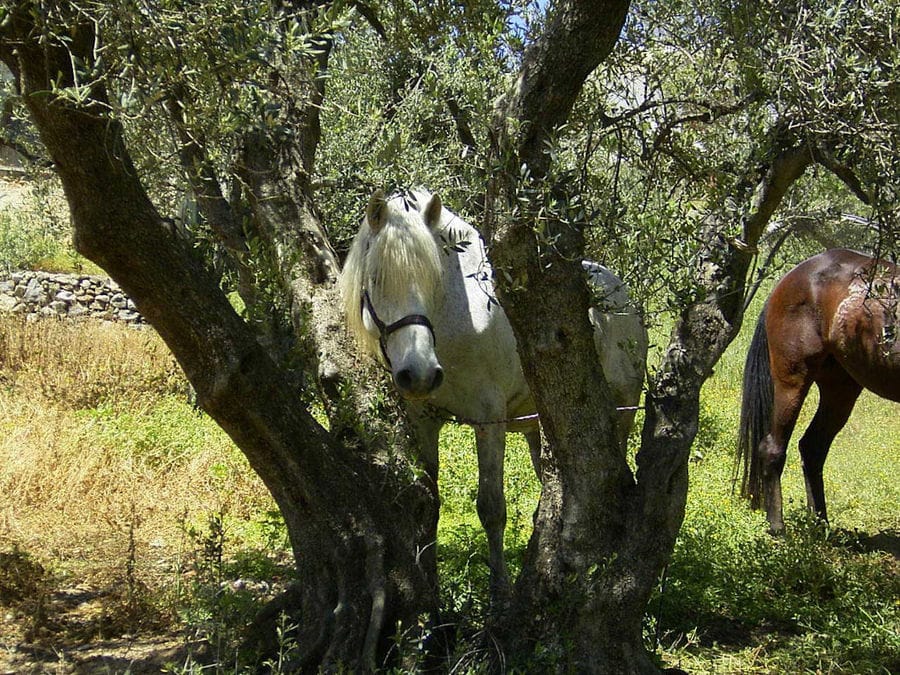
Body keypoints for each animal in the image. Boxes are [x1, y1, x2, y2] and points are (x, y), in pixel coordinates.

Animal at [340, 189, 648, 604]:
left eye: (433, 279)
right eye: (377, 279)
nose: (419, 374)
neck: (455, 327)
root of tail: (620, 293)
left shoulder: (489, 421)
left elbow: (491, 508)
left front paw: (499, 592)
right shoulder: (425, 423)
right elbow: (430, 504)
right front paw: (431, 588)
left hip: (622, 411)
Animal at [740, 248, 900, 532]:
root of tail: (789, 278)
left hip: (840, 388)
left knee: (813, 447)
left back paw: (820, 524)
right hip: (792, 381)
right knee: (773, 449)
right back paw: (778, 527)